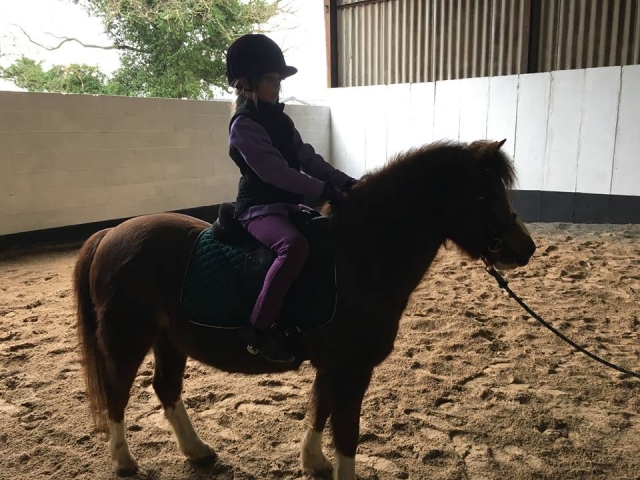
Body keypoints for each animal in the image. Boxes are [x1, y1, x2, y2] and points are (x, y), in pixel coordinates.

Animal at [74, 139, 536, 479]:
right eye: (483, 194)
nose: (525, 248)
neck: (359, 255)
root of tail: (110, 233)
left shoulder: (335, 365)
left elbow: (320, 408)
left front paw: (312, 462)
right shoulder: (352, 368)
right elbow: (346, 432)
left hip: (170, 341)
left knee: (165, 388)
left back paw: (198, 451)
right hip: (127, 338)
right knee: (117, 390)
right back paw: (124, 461)